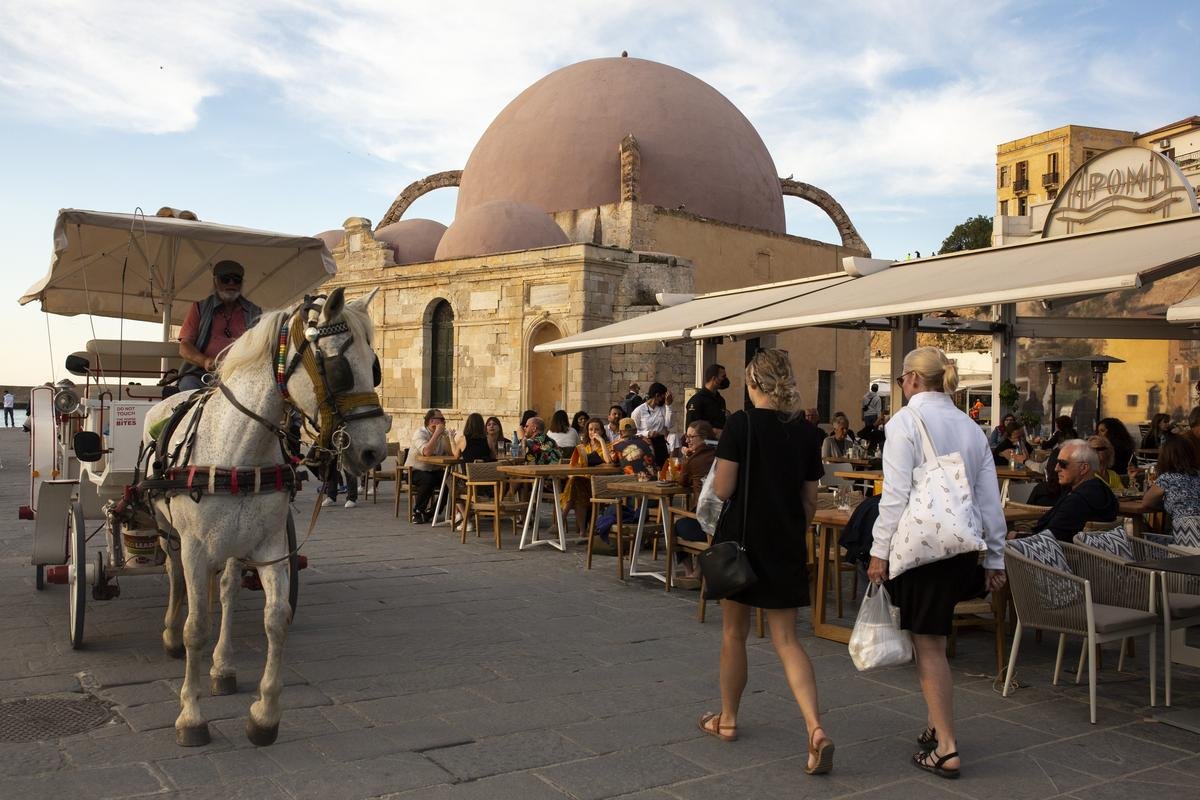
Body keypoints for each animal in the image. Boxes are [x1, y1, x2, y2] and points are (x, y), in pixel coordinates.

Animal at [143, 289, 388, 753]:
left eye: (376, 367)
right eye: (339, 368)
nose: (373, 453)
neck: (238, 449)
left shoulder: (271, 543)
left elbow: (276, 618)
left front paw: (264, 714)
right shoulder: (195, 546)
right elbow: (196, 627)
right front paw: (191, 715)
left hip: (235, 541)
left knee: (225, 589)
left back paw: (222, 667)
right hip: (168, 531)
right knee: (173, 575)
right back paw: (167, 632)